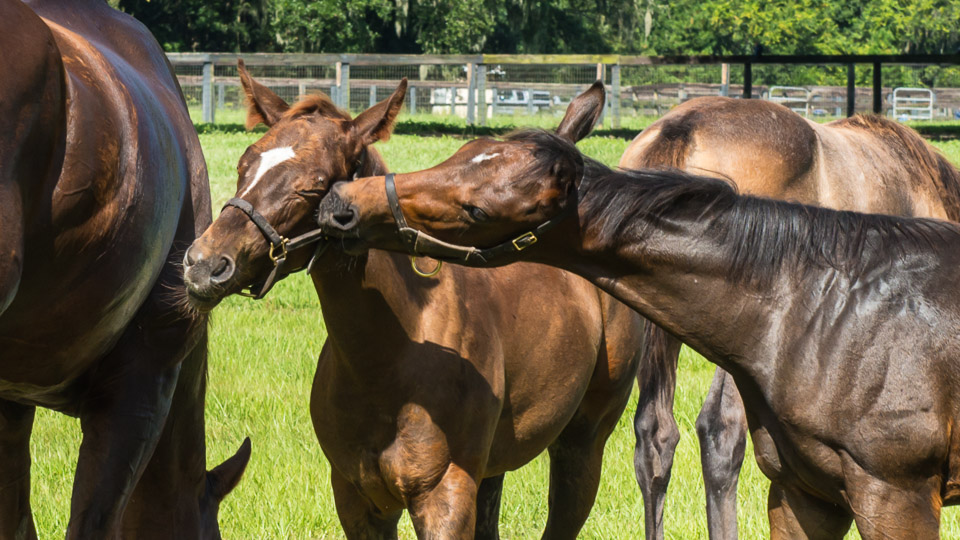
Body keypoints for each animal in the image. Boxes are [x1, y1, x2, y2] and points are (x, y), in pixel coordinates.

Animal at [180, 65, 644, 536]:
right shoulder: (356, 498)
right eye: (245, 164)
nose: (205, 264)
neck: (385, 361)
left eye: (315, 186)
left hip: (583, 441)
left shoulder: (445, 496)